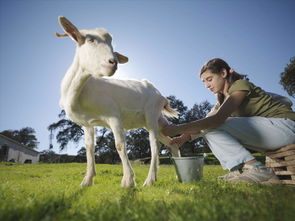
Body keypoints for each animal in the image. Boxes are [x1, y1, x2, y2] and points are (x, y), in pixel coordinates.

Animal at [55, 16, 180, 187]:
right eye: (90, 40)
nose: (112, 62)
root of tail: (160, 95)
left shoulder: (113, 115)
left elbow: (119, 145)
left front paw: (128, 181)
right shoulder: (87, 124)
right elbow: (89, 148)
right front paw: (87, 181)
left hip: (151, 114)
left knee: (155, 144)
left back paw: (149, 180)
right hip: (156, 121)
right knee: (170, 141)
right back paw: (177, 174)